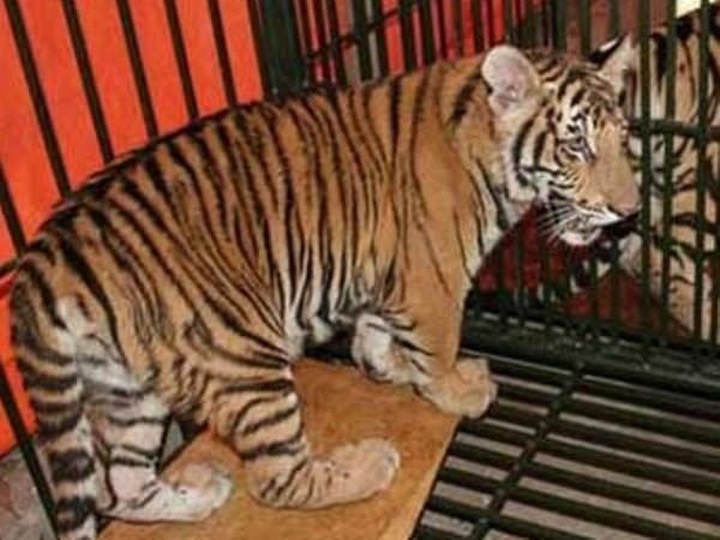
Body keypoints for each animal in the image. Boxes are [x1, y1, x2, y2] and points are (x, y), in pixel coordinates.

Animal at [9, 42, 639, 540]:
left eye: (624, 139)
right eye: (576, 146)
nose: (627, 212)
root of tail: (44, 264)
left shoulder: (385, 279)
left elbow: (377, 341)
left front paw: (390, 370)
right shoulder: (429, 281)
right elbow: (436, 351)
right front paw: (460, 392)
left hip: (128, 391)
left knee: (119, 485)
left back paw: (201, 493)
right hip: (244, 354)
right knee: (275, 479)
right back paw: (370, 465)